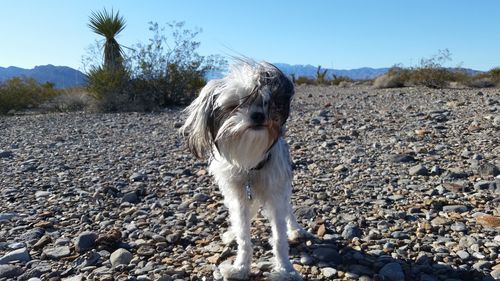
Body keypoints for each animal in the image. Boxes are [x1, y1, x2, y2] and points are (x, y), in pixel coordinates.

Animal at [180, 61, 304, 280]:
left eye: (265, 102)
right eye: (233, 106)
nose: (258, 115)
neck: (250, 167)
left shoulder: (275, 195)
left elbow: (279, 238)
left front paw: (285, 269)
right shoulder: (238, 198)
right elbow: (244, 236)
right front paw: (240, 267)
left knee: (288, 209)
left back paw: (295, 229)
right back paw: (232, 233)